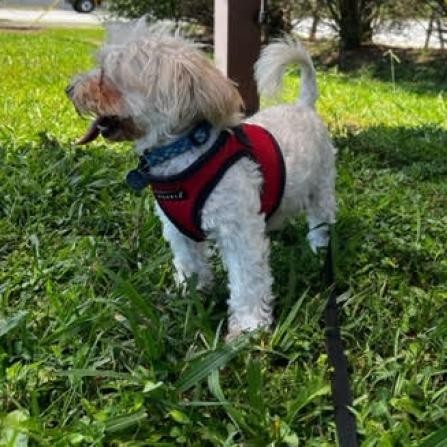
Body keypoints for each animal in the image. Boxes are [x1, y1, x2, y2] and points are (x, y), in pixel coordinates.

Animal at [66, 17, 336, 340]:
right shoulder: (178, 230)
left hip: (322, 188)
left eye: (107, 75)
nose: (69, 88)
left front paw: (248, 328)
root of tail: (304, 106)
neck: (184, 155)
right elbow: (190, 265)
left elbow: (247, 282)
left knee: (320, 222)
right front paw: (192, 298)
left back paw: (319, 250)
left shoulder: (239, 233)